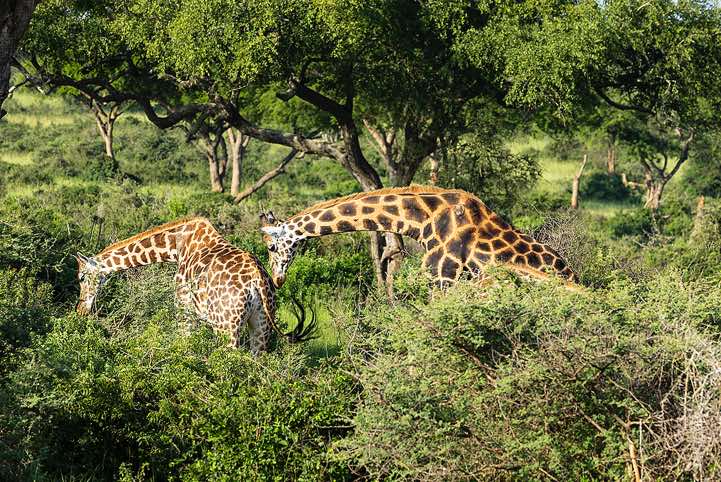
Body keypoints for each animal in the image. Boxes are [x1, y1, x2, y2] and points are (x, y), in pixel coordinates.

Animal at [75, 217, 315, 354]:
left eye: (81, 277)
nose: (80, 310)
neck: (176, 246)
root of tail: (258, 280)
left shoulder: (184, 308)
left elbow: (186, 346)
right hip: (262, 323)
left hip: (226, 325)